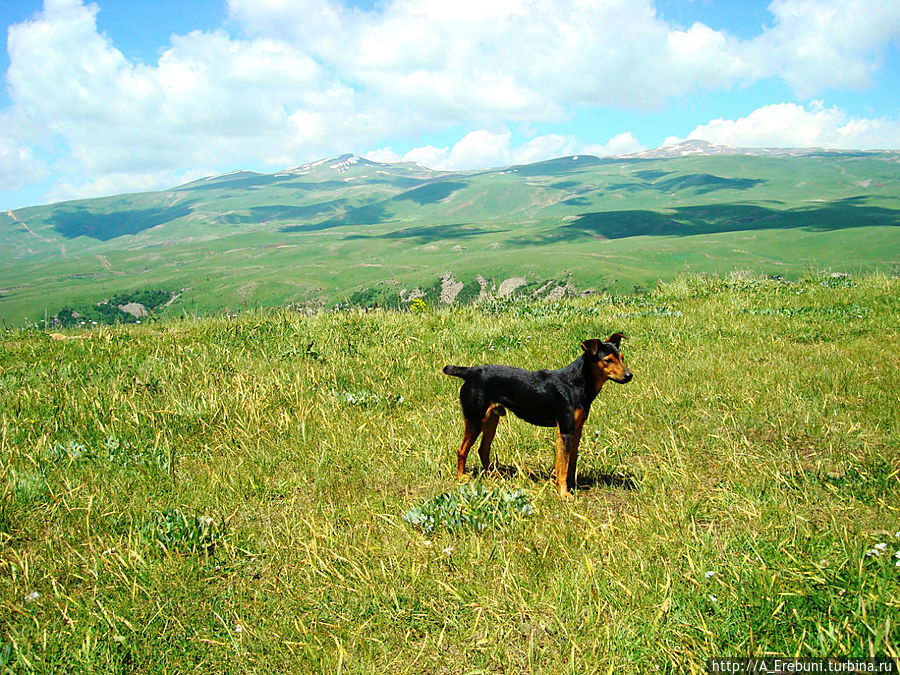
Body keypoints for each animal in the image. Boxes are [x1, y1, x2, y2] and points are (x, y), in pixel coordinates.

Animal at [444, 336, 632, 500]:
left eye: (622, 358)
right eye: (607, 360)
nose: (629, 375)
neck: (577, 383)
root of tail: (470, 372)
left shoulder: (576, 430)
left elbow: (571, 463)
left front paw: (572, 486)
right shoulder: (564, 431)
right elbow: (562, 466)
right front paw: (564, 494)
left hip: (491, 419)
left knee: (483, 449)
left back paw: (493, 475)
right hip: (475, 419)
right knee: (462, 450)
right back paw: (461, 477)